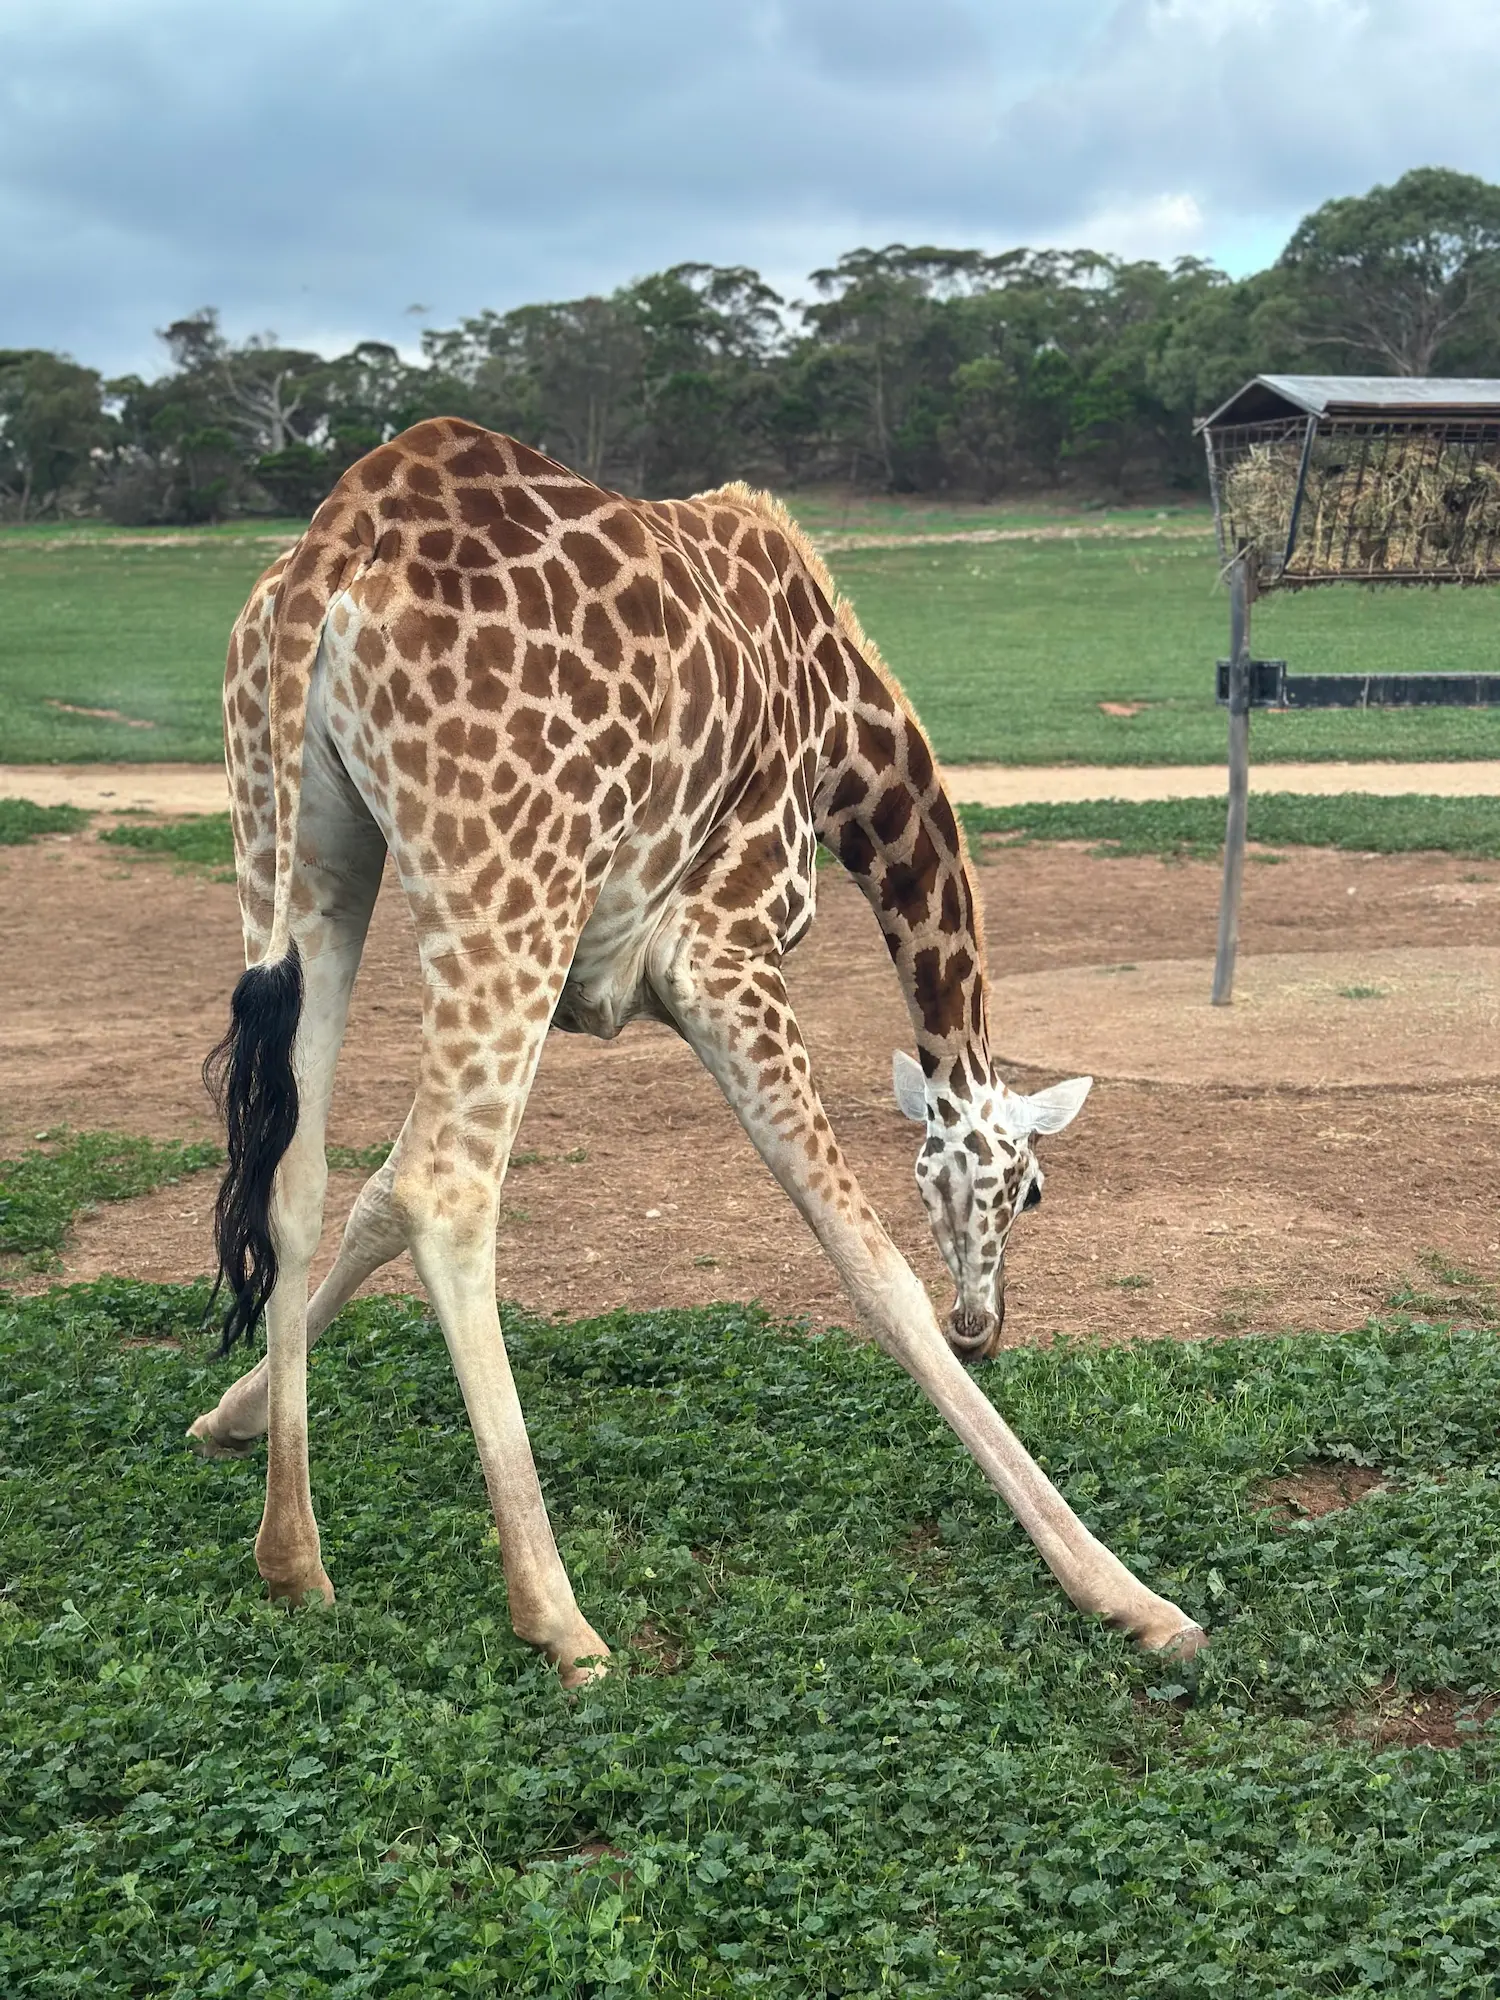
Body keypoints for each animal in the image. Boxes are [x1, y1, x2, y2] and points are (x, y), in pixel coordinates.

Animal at [188, 419, 1206, 1682]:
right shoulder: (718, 951)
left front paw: (225, 1415)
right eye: (1033, 1191)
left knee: (296, 1168)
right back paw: (557, 1612)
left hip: (303, 847)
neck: (847, 739)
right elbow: (869, 1263)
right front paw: (1129, 1595)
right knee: (450, 1188)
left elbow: (364, 1197)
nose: (987, 1321)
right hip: (510, 886)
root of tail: (348, 529)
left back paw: (293, 1554)